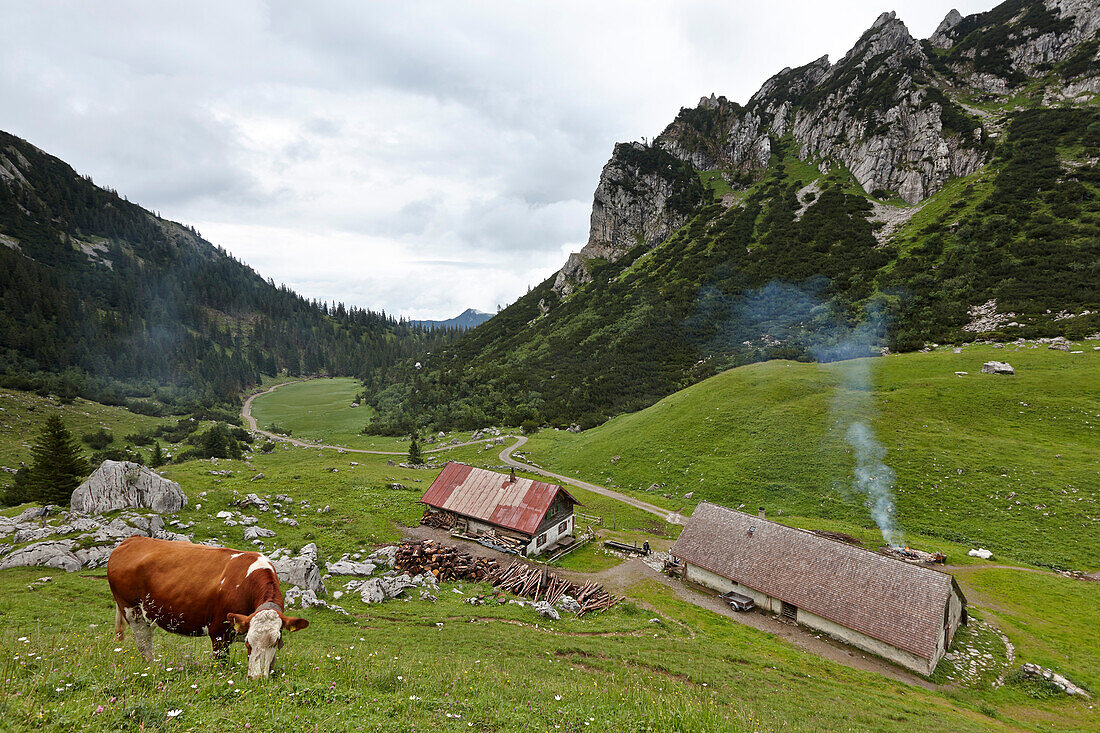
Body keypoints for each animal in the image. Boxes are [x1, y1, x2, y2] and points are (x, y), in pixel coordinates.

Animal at [106, 534, 310, 677]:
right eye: (247, 641)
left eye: (275, 641)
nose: (256, 678)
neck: (247, 583)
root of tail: (131, 540)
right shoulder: (219, 631)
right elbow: (222, 663)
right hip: (132, 610)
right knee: (144, 643)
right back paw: (151, 667)